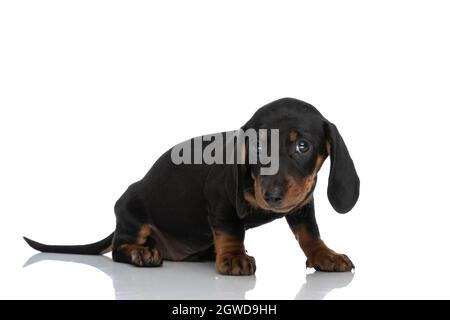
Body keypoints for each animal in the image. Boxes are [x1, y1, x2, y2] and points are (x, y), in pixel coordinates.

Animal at [25, 97, 362, 276]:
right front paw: (233, 257)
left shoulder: (302, 204)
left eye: (303, 146)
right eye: (256, 147)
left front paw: (324, 255)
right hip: (132, 213)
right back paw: (140, 254)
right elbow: (230, 229)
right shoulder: (219, 200)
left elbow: (309, 232)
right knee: (120, 247)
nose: (273, 196)